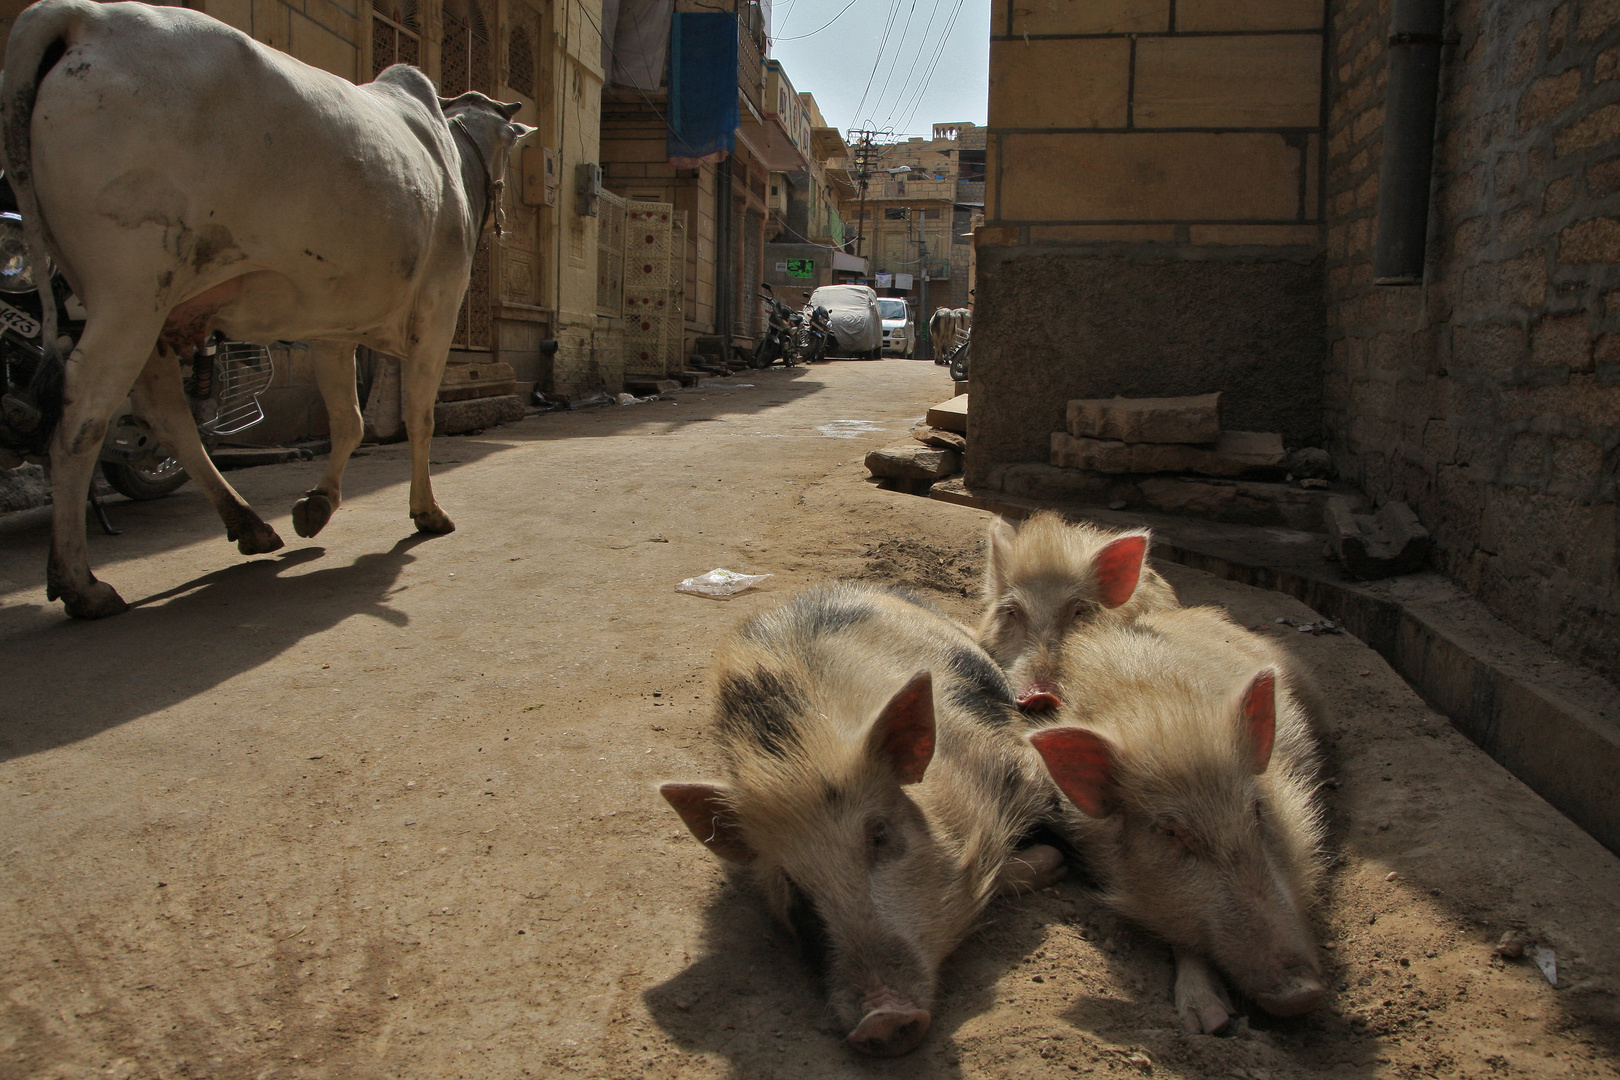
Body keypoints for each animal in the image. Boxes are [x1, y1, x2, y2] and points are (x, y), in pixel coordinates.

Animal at [0, 0, 531, 615]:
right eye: (507, 148)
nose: (500, 214)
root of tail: (77, 16)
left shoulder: (333, 328)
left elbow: (348, 422)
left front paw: (317, 505)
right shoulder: (438, 312)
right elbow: (419, 417)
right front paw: (427, 511)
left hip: (151, 305)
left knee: (166, 414)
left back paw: (247, 524)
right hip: (131, 291)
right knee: (82, 416)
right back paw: (80, 582)